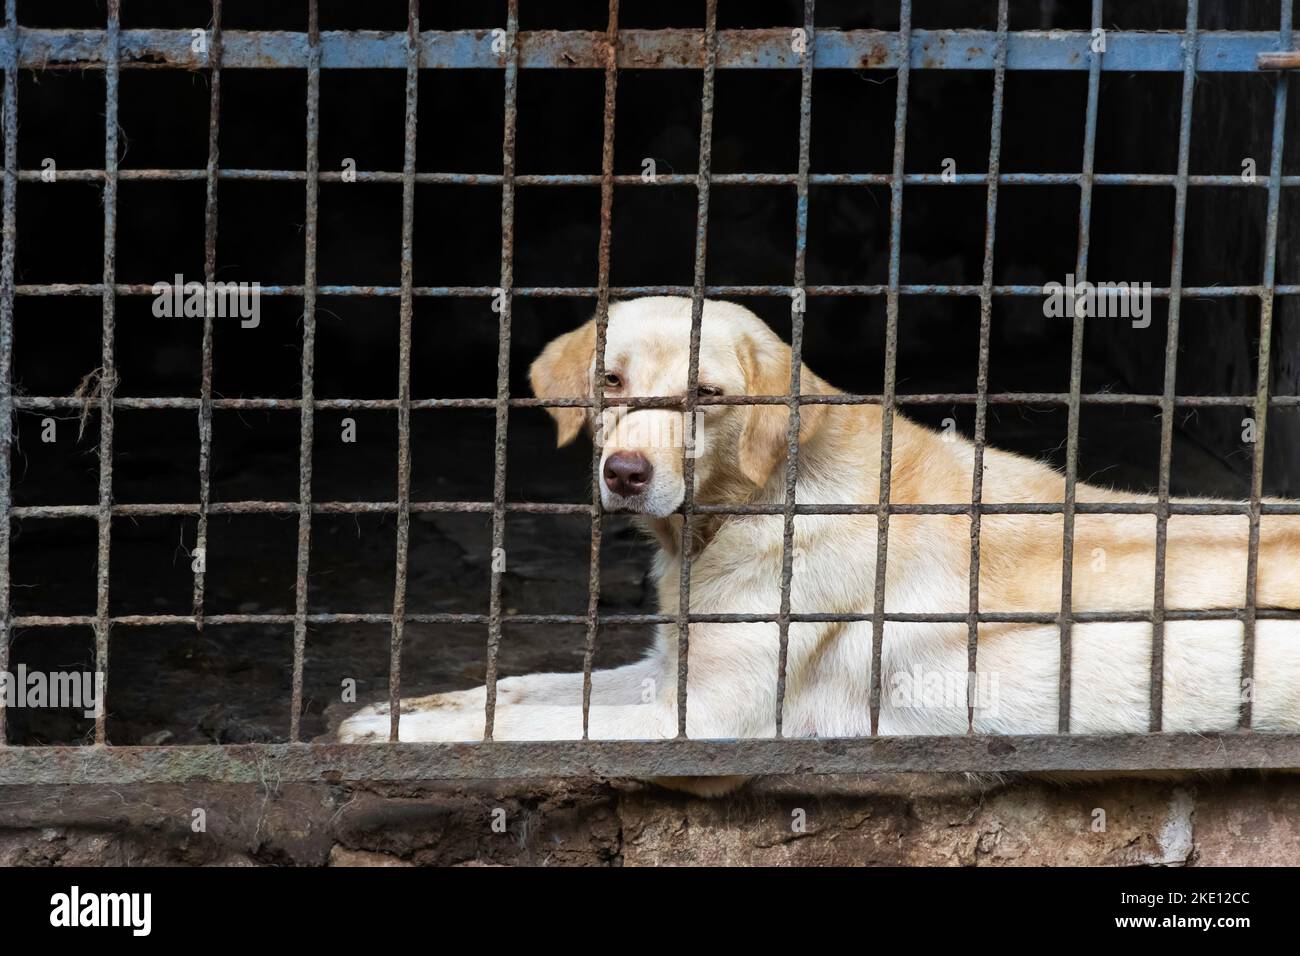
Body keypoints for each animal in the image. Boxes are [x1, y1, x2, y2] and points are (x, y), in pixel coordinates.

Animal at [340, 299, 1300, 780]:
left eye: (707, 395)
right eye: (610, 381)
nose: (624, 472)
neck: (743, 512)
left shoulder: (698, 717)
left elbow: (533, 726)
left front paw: (391, 741)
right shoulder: (666, 669)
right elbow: (516, 690)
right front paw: (390, 710)